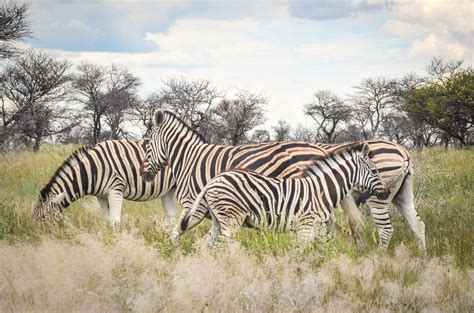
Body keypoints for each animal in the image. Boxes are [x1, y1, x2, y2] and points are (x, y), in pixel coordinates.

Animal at [32, 138, 176, 223]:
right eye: (34, 218)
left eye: (43, 217)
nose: (36, 236)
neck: (92, 170)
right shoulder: (101, 196)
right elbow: (107, 220)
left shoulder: (116, 189)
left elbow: (114, 221)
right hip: (168, 191)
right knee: (172, 216)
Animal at [187, 142, 390, 246]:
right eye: (374, 171)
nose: (386, 193)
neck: (322, 188)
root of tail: (213, 180)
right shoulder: (306, 225)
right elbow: (302, 253)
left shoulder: (314, 227)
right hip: (231, 219)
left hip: (219, 220)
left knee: (207, 244)